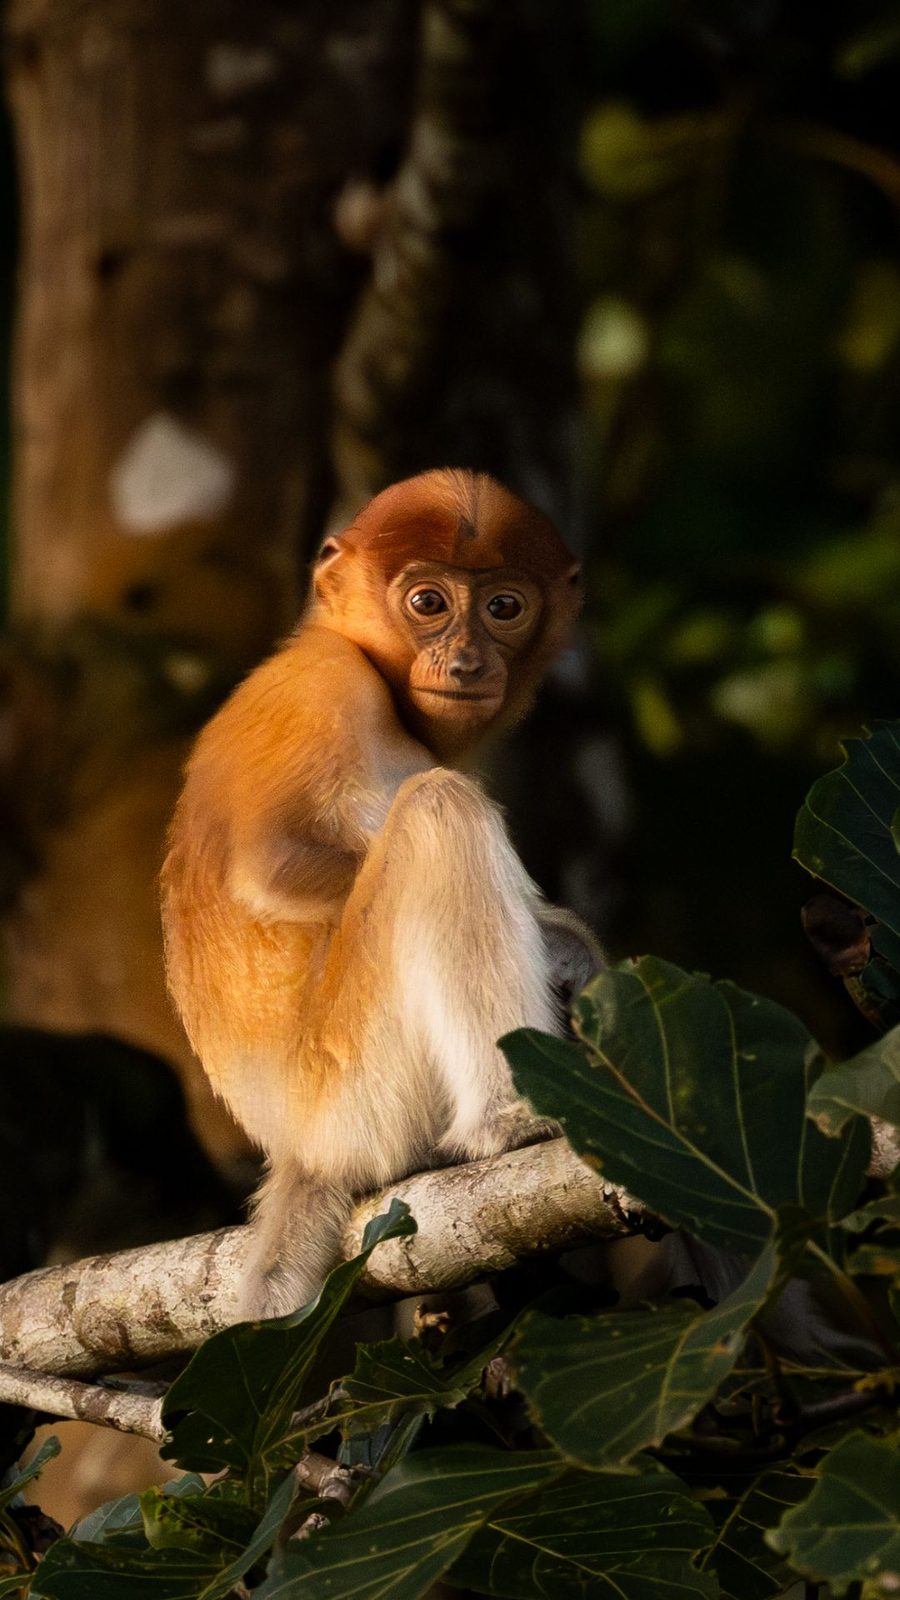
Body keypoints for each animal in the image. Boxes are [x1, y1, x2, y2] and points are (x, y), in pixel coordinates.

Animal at [161, 468, 602, 1318]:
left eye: (504, 608)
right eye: (428, 602)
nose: (465, 663)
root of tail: (298, 1146)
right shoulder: (319, 685)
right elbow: (269, 869)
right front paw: (561, 935)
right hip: (354, 1089)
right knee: (438, 810)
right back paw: (509, 1118)